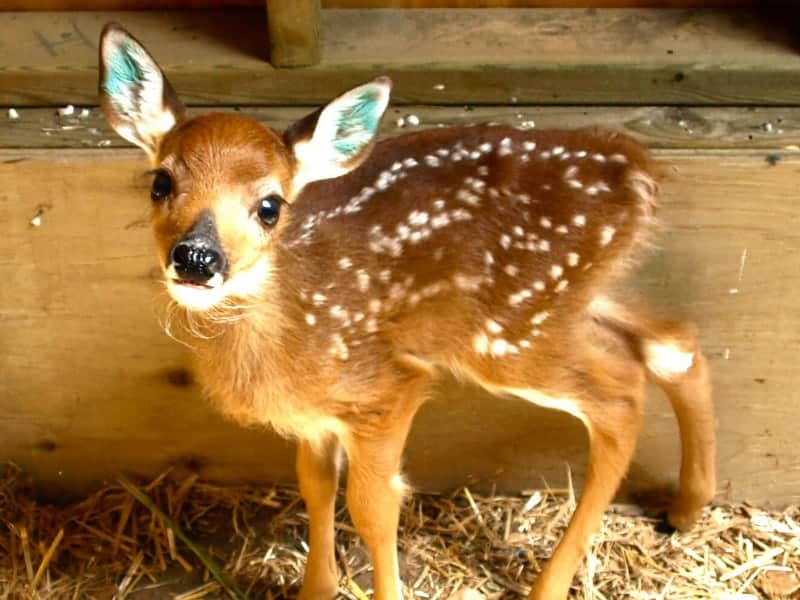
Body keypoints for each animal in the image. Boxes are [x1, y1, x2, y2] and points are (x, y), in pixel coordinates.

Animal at [97, 23, 716, 600]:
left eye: (270, 206)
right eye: (160, 182)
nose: (197, 257)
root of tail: (641, 172)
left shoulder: (385, 391)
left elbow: (372, 507)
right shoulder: (316, 415)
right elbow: (314, 485)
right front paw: (317, 588)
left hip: (511, 333)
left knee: (621, 394)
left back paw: (551, 584)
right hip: (570, 303)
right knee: (674, 342)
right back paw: (686, 508)